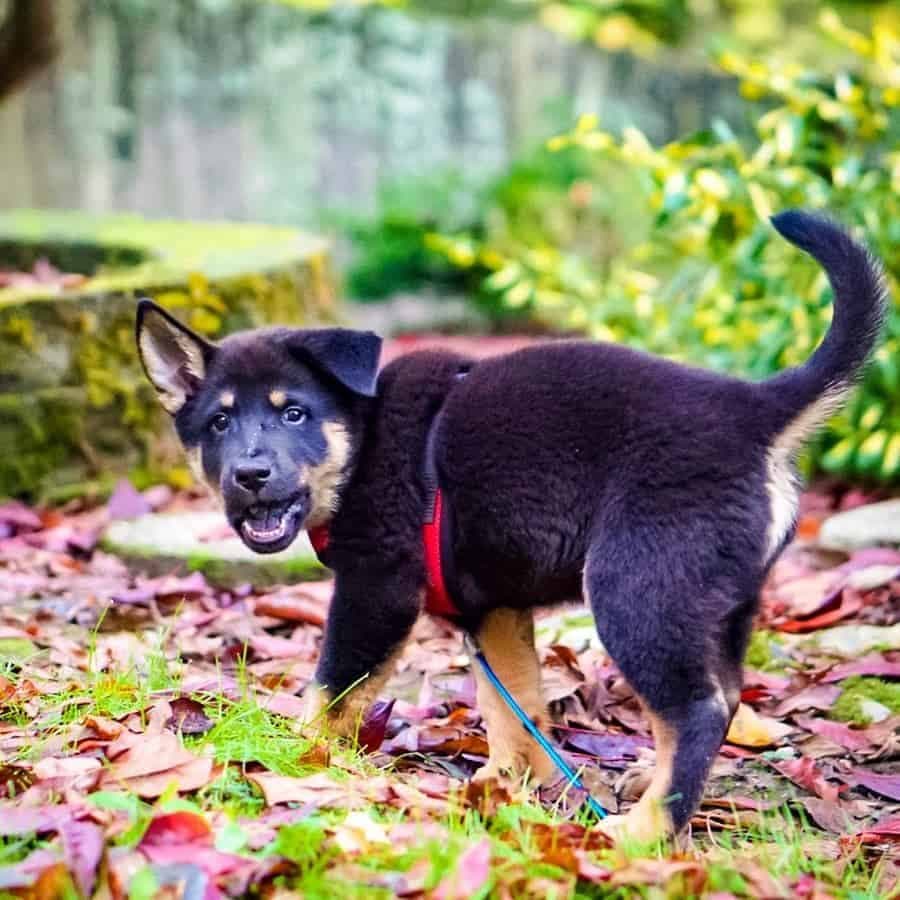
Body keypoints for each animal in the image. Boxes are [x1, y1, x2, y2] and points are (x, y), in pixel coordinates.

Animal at [135, 213, 884, 844]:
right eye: (219, 423)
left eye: (294, 414)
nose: (250, 474)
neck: (366, 436)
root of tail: (755, 409)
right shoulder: (492, 608)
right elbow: (512, 704)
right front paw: (508, 785)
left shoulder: (378, 587)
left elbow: (332, 689)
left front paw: (293, 756)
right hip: (713, 598)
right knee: (720, 694)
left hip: (634, 585)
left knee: (695, 706)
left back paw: (643, 832)